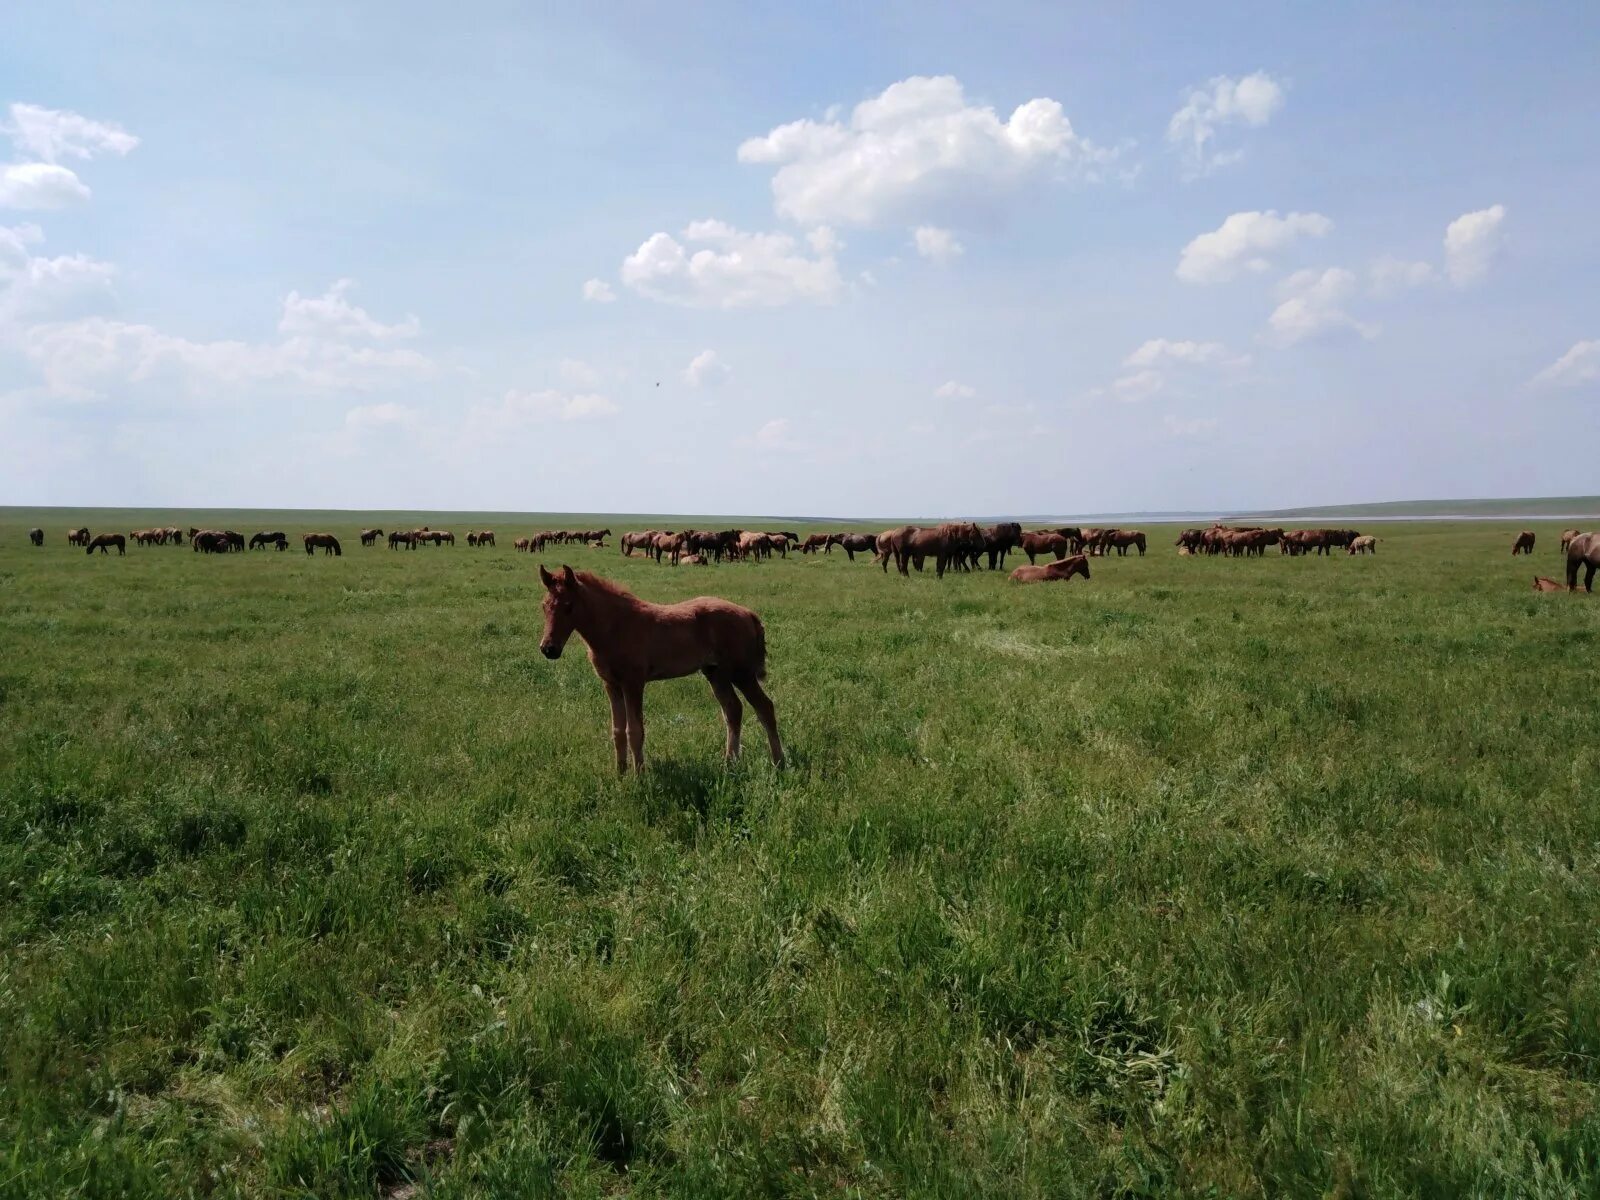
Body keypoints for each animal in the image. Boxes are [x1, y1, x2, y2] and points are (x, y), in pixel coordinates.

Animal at [540, 566, 784, 774]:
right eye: (544, 606)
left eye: (569, 605)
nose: (548, 649)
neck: (615, 627)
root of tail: (750, 614)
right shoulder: (611, 685)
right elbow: (617, 731)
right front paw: (620, 774)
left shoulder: (633, 683)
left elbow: (635, 731)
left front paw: (639, 777)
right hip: (716, 674)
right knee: (733, 709)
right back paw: (730, 763)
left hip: (742, 673)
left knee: (765, 707)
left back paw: (778, 762)